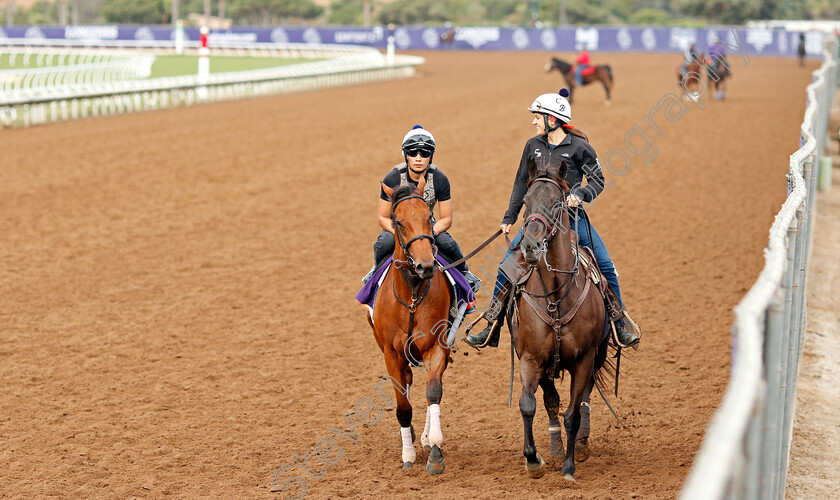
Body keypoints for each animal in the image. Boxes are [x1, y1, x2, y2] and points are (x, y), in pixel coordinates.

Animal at [370, 178, 452, 474]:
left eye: (429, 217)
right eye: (399, 222)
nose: (425, 266)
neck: (413, 296)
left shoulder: (436, 346)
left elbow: (433, 391)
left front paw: (435, 450)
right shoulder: (391, 354)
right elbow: (403, 406)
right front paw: (408, 454)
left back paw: (426, 437)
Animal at [508, 163, 608, 480]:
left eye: (556, 203)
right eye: (525, 201)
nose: (529, 247)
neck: (554, 295)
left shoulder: (584, 359)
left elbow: (573, 414)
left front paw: (568, 467)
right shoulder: (530, 358)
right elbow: (529, 405)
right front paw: (534, 460)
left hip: (598, 355)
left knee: (585, 395)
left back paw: (582, 444)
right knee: (550, 401)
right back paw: (553, 449)